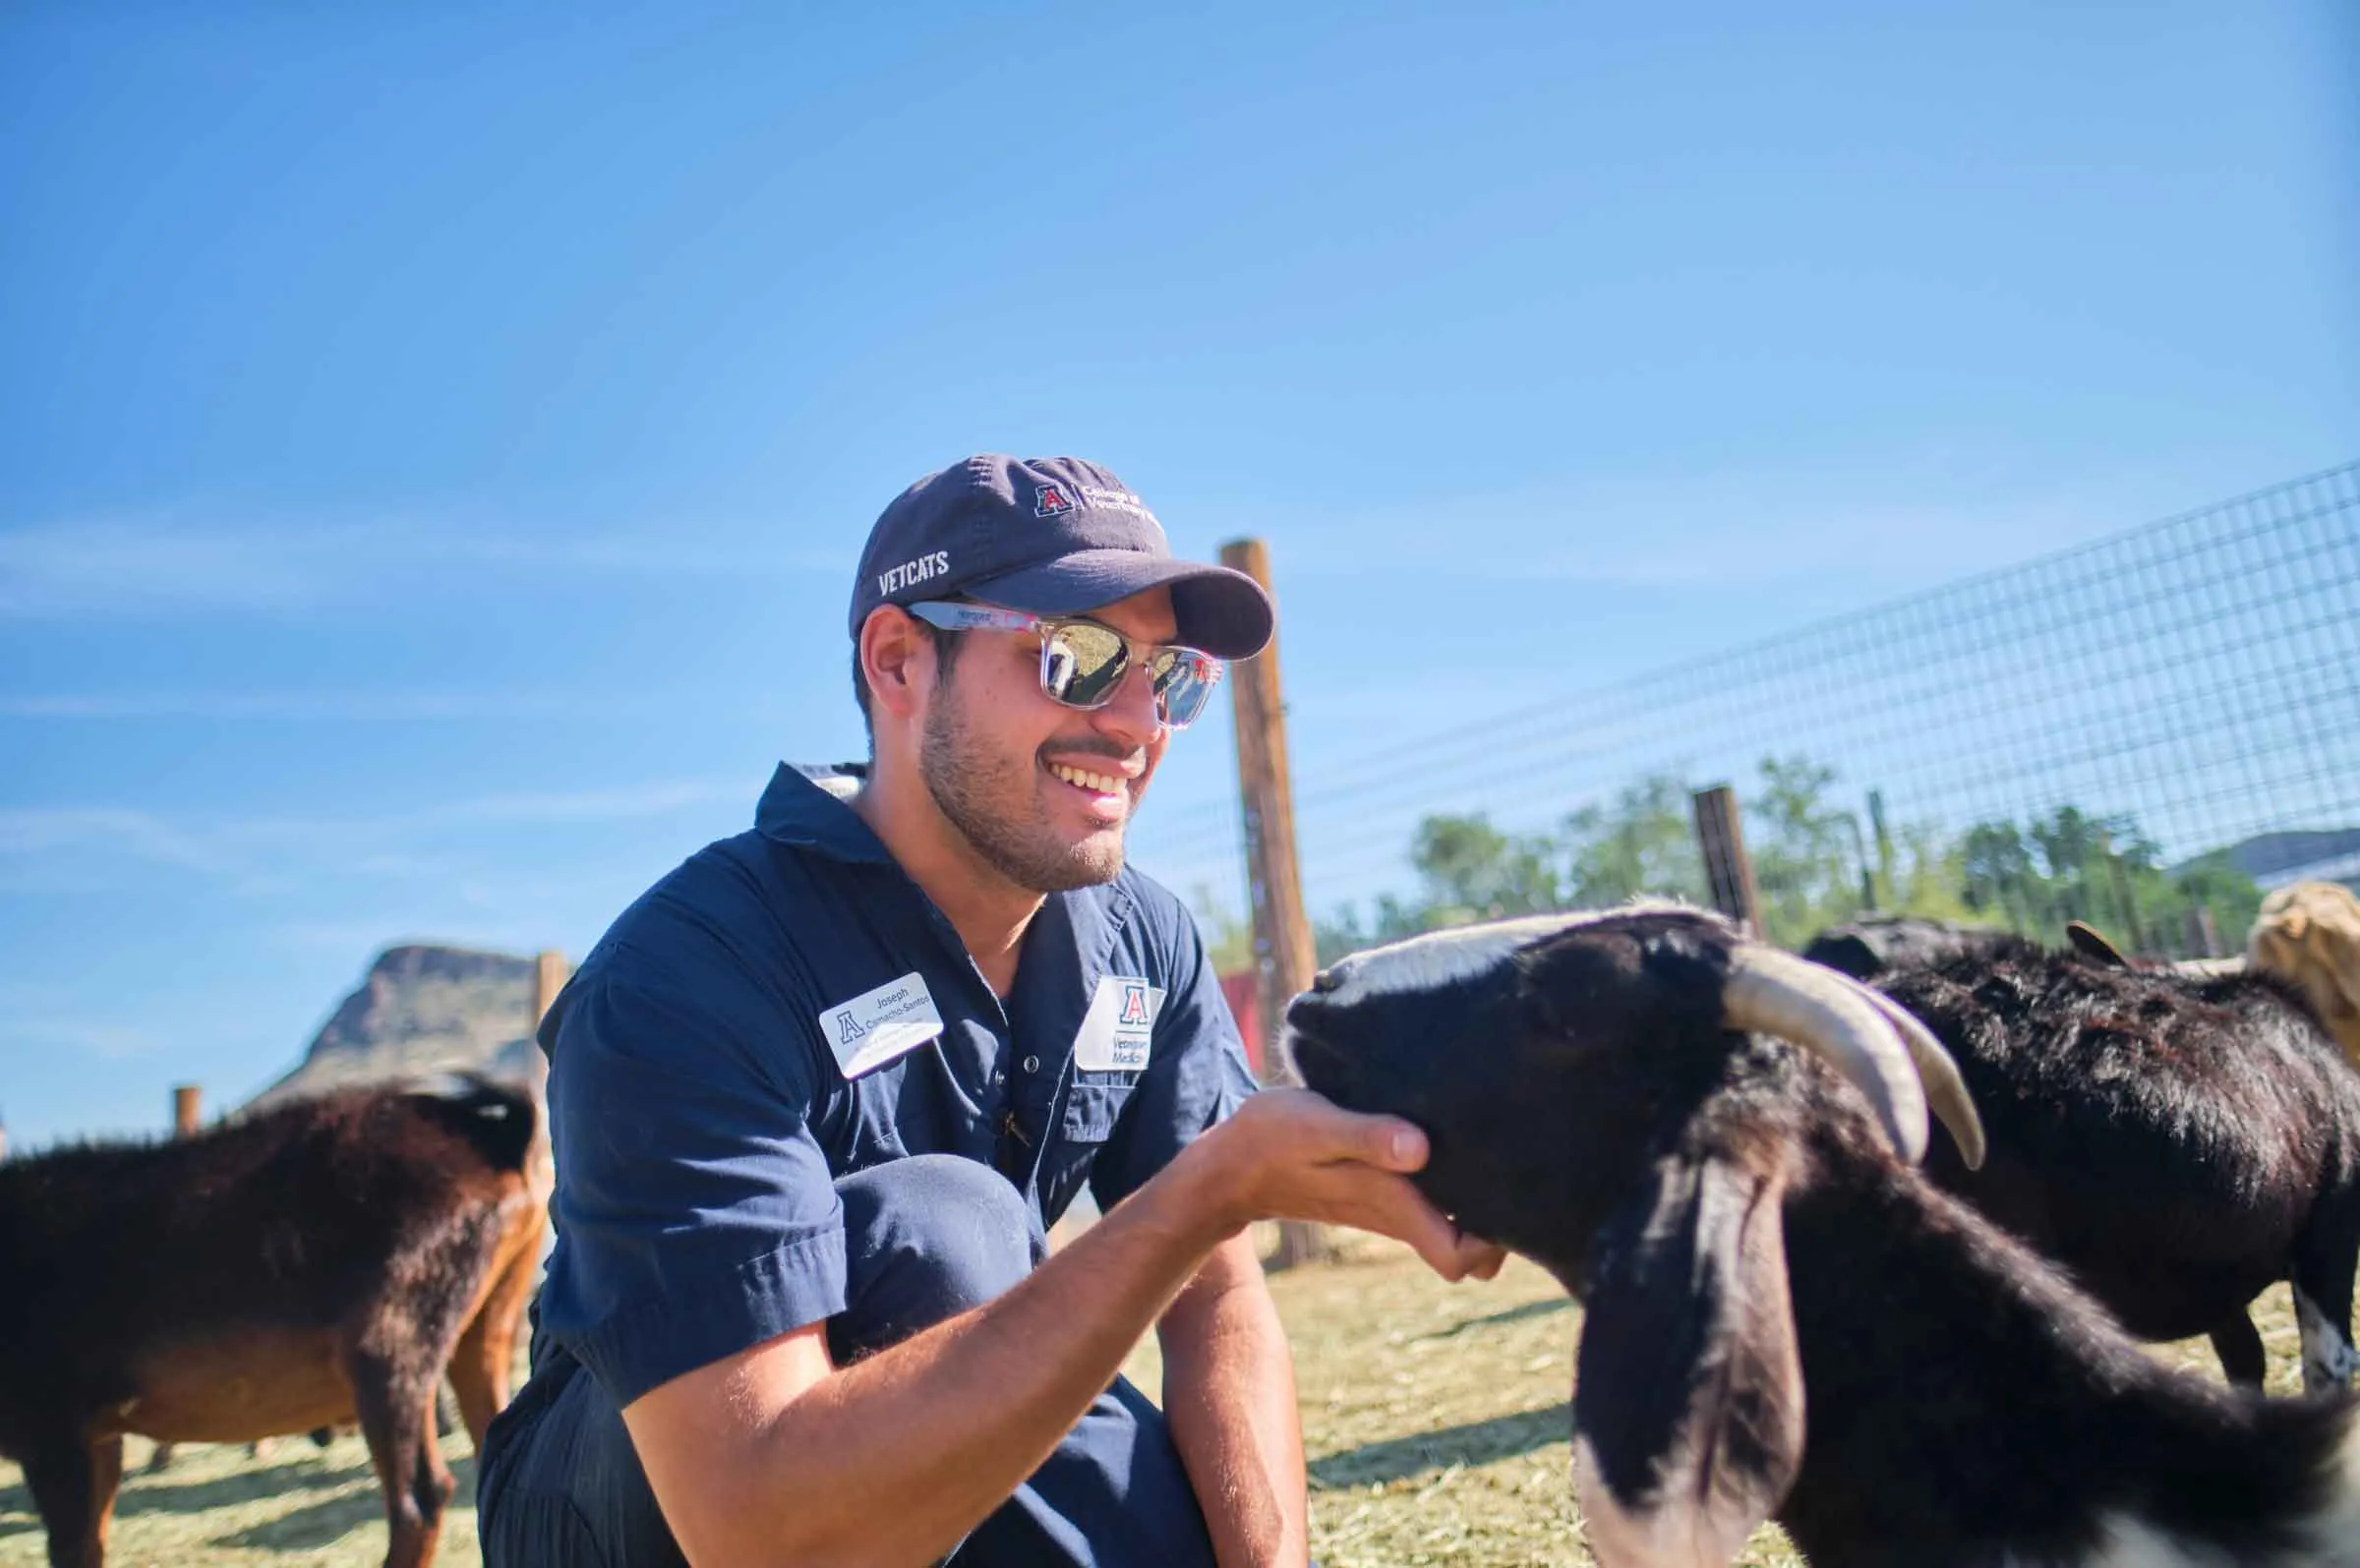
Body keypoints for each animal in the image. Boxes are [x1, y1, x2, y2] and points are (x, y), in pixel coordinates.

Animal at [0, 1070, 547, 1565]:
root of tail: (497, 1142)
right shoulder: (100, 1434)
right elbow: (94, 1539)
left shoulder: (53, 1424)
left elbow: (72, 1545)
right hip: (488, 1318)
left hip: (392, 1339)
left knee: (420, 1498)